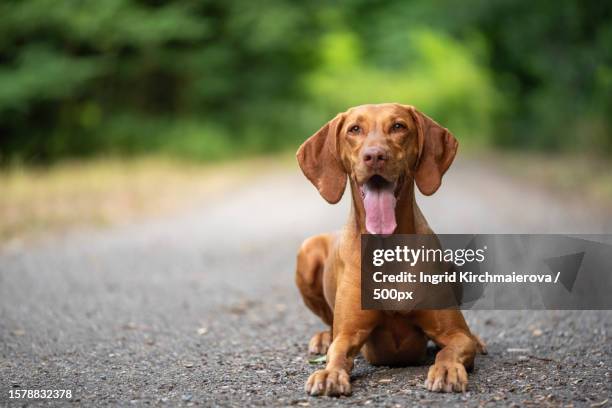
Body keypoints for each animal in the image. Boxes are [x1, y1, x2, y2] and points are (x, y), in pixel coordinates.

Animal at [294, 103, 486, 396]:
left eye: (398, 126)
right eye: (354, 129)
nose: (375, 156)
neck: (388, 247)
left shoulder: (455, 334)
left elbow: (451, 348)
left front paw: (446, 369)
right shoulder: (349, 333)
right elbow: (338, 352)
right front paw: (328, 373)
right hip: (308, 251)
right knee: (329, 326)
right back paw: (323, 337)